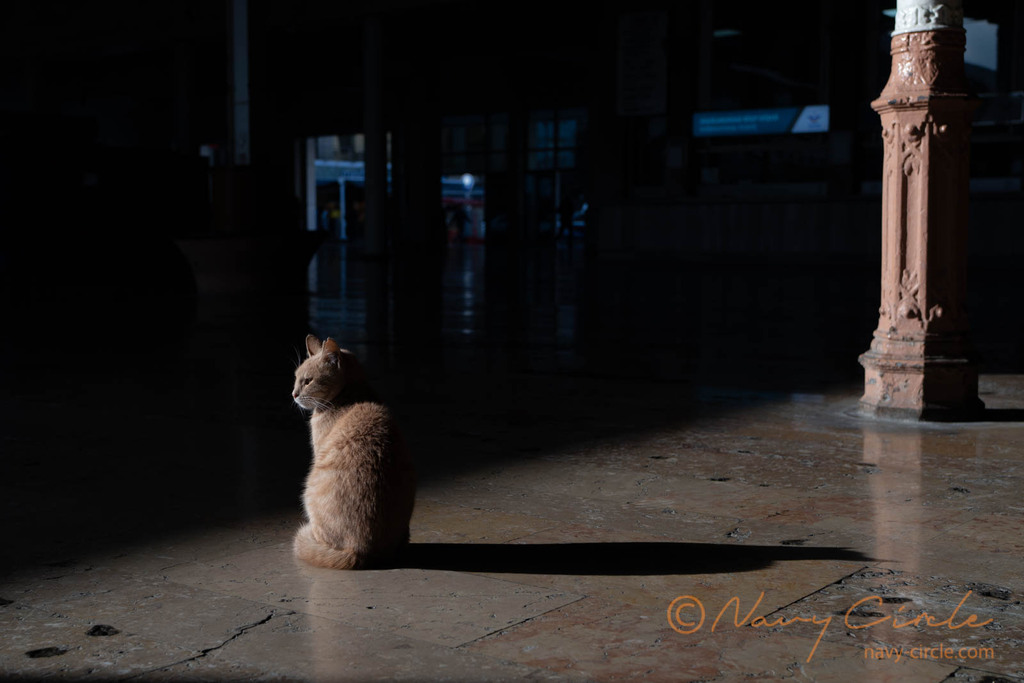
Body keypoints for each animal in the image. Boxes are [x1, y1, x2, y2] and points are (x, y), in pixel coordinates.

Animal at [288, 337, 415, 573]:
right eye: (296, 378)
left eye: (307, 381)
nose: (293, 394)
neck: (352, 395)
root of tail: (360, 552)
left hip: (310, 490)